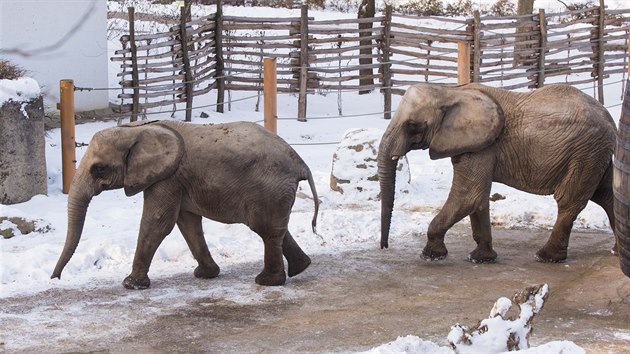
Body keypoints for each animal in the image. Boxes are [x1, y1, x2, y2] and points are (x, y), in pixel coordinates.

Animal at [50, 120, 320, 290]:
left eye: (99, 169)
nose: (55, 278)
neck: (138, 128)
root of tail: (300, 162)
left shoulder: (167, 177)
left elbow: (158, 222)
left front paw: (131, 285)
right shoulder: (177, 180)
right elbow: (187, 222)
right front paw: (205, 275)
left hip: (269, 187)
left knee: (265, 229)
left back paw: (266, 281)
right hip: (274, 191)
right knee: (274, 229)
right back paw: (300, 268)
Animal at [378, 83, 620, 264]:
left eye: (412, 125)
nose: (384, 247)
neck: (449, 90)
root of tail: (610, 120)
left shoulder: (482, 146)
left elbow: (468, 196)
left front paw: (430, 255)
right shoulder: (475, 144)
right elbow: (478, 199)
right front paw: (481, 258)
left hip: (586, 152)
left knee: (569, 201)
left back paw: (546, 257)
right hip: (595, 153)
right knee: (607, 195)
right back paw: (616, 251)